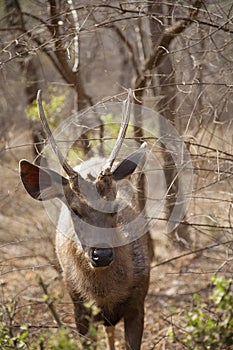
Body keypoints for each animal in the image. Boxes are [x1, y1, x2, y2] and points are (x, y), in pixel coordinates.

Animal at [19, 91, 152, 350]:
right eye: (75, 210)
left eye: (115, 207)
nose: (102, 254)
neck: (105, 296)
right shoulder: (79, 308)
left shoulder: (138, 301)